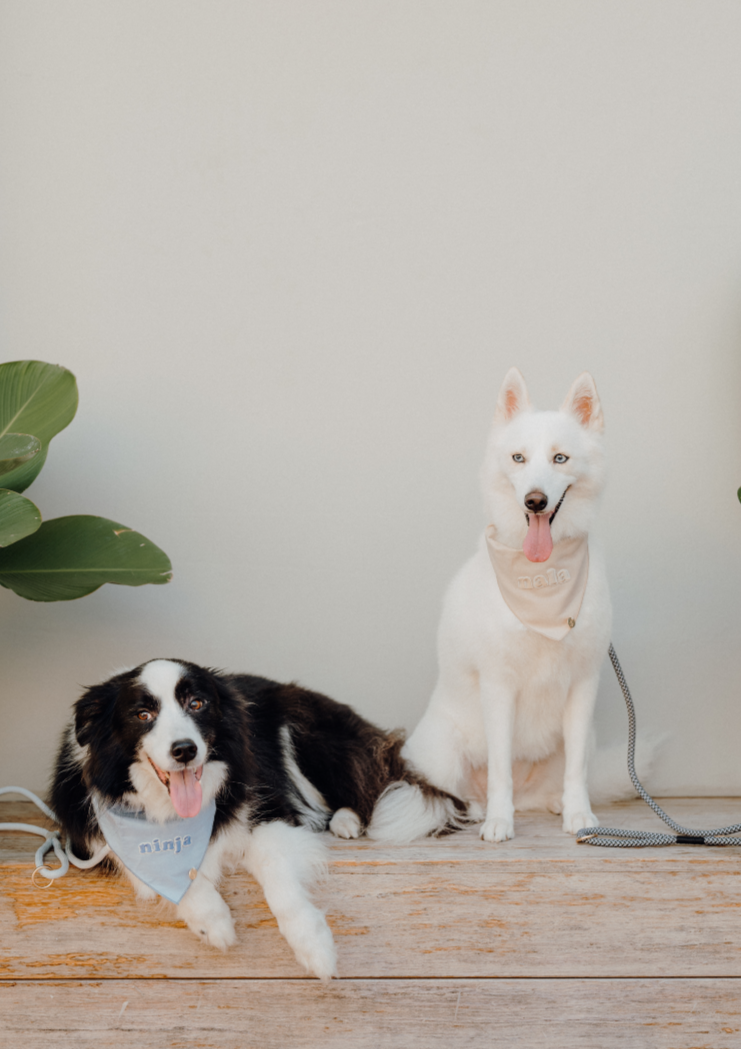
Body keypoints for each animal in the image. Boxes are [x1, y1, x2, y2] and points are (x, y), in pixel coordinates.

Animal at [50, 658, 461, 977]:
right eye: (143, 714)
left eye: (197, 703)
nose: (184, 750)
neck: (172, 814)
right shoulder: (95, 835)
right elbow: (158, 869)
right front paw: (211, 920)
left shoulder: (273, 808)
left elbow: (274, 866)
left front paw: (313, 944)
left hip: (305, 728)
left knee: (363, 786)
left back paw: (346, 821)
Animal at [400, 369, 612, 843]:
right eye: (518, 458)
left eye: (559, 458)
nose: (535, 501)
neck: (543, 580)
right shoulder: (499, 687)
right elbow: (500, 770)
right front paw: (500, 820)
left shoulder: (584, 686)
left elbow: (577, 772)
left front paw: (579, 814)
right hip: (442, 753)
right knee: (455, 794)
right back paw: (480, 810)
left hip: (584, 737)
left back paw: (551, 803)